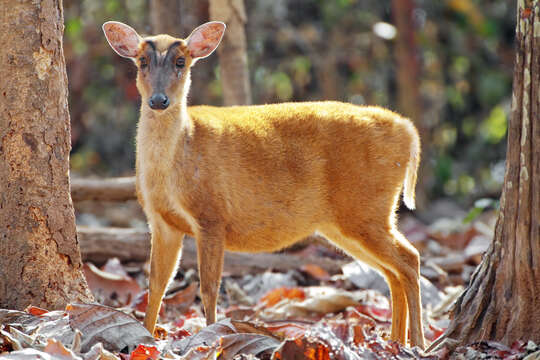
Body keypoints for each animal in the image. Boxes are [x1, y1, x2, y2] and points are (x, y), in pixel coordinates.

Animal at [100, 20, 422, 348]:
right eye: (142, 61)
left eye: (181, 61)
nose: (158, 100)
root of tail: (409, 131)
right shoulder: (162, 221)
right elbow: (156, 283)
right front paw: (147, 336)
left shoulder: (211, 214)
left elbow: (209, 287)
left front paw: (211, 336)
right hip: (345, 222)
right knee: (392, 272)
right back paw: (397, 341)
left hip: (365, 207)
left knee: (410, 259)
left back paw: (418, 343)